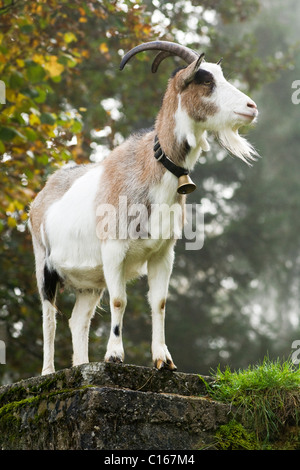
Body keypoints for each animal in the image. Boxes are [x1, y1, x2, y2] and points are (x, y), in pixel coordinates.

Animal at [28, 42, 258, 376]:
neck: (151, 167)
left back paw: (81, 365)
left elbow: (159, 301)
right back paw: (48, 372)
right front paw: (114, 356)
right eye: (205, 79)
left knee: (77, 320)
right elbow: (119, 301)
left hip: (90, 282)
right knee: (49, 315)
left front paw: (164, 359)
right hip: (43, 261)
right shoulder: (114, 249)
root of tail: (42, 195)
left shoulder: (163, 252)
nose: (251, 107)